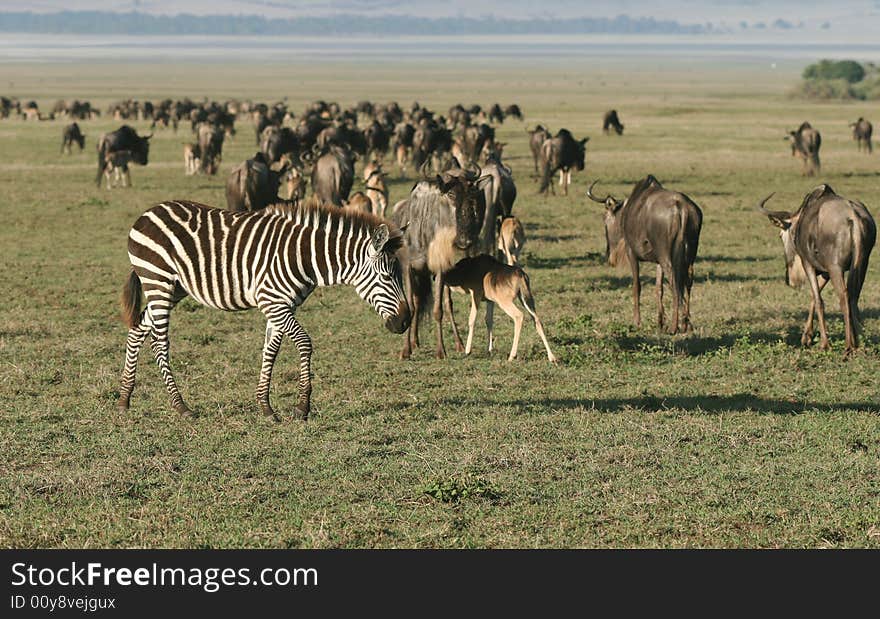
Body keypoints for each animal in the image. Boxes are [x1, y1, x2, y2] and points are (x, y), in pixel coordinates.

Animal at [116, 199, 412, 422]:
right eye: (387, 277)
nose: (405, 322)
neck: (305, 258)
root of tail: (148, 212)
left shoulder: (280, 305)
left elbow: (271, 351)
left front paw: (265, 407)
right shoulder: (273, 301)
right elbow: (305, 343)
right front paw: (302, 408)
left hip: (174, 288)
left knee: (138, 329)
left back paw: (124, 398)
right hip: (159, 281)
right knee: (159, 343)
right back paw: (181, 406)